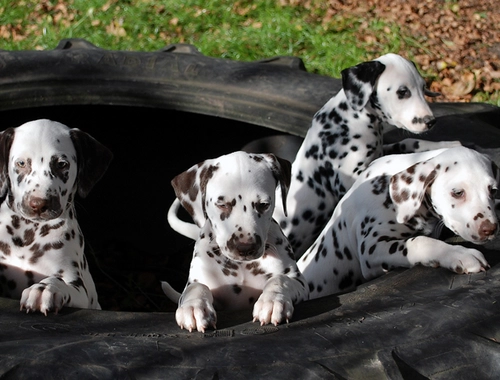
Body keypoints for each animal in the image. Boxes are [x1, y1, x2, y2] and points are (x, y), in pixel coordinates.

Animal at [0, 119, 113, 314]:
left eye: (61, 164)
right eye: (21, 163)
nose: (39, 204)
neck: (28, 232)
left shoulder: (78, 287)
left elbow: (58, 281)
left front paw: (44, 288)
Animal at [162, 151, 308, 332]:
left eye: (264, 204)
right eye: (222, 204)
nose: (245, 247)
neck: (241, 266)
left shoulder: (299, 282)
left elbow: (281, 279)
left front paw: (273, 300)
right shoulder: (200, 282)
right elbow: (197, 287)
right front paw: (194, 307)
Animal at [276, 53, 458, 258]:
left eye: (423, 87)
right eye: (402, 92)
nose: (430, 121)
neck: (350, 118)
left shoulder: (381, 150)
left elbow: (409, 142)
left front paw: (445, 146)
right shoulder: (349, 179)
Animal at [296, 147, 496, 298]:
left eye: (493, 190)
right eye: (457, 192)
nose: (490, 229)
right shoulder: (372, 248)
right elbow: (420, 242)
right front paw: (459, 254)